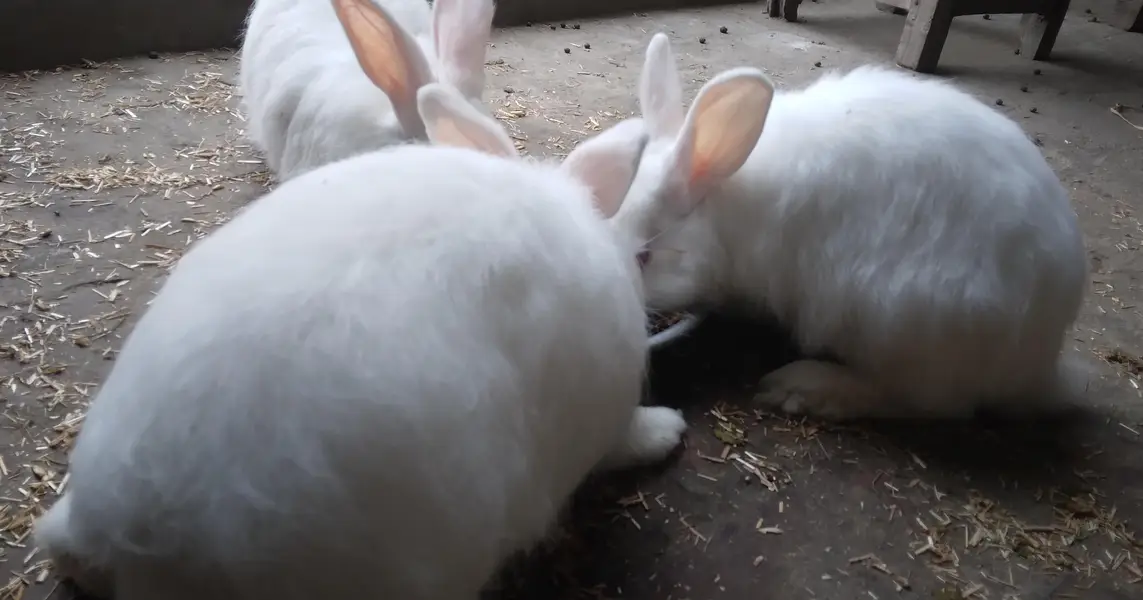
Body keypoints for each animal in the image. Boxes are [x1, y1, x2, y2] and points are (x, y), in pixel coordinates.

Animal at [604, 33, 1088, 421]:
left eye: (644, 257)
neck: (725, 204)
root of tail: (1040, 360)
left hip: (898, 319)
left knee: (923, 401)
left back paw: (800, 387)